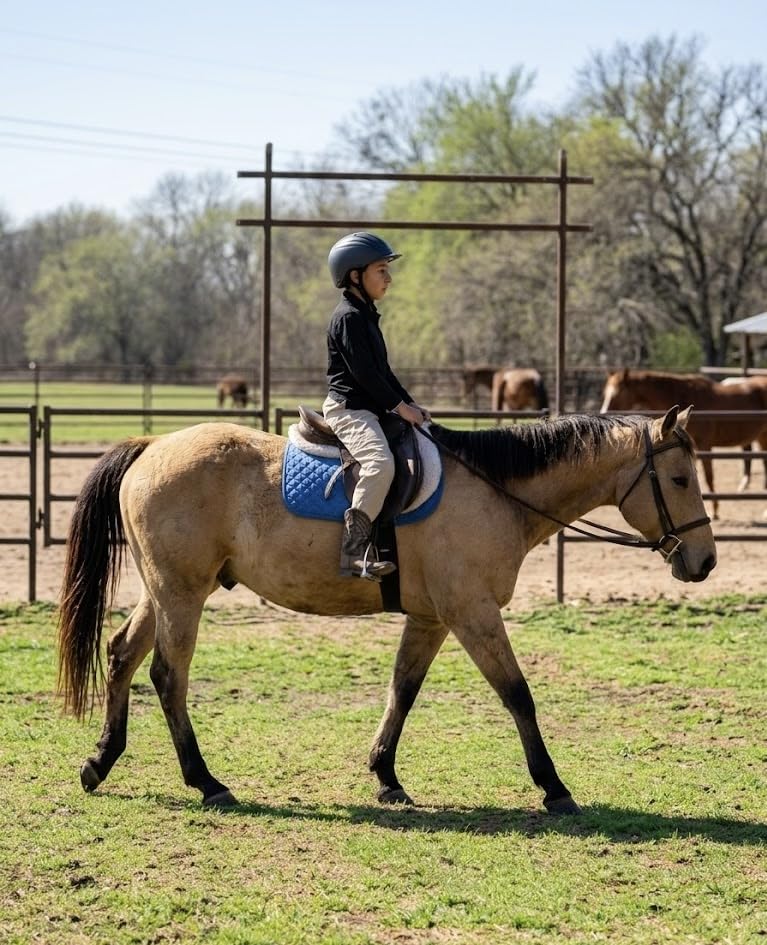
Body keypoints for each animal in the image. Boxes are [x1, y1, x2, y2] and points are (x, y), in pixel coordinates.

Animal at [57, 406, 715, 814]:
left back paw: (100, 761)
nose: (705, 561)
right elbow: (517, 694)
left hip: (164, 592)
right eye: (681, 479)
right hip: (182, 594)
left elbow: (403, 690)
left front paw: (385, 775)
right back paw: (206, 781)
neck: (496, 491)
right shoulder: (472, 612)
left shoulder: (432, 619)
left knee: (121, 656)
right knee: (168, 676)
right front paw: (553, 788)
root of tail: (153, 446)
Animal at [601, 369, 767, 518]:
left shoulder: (704, 446)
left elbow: (709, 477)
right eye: (605, 393)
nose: (603, 414)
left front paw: (715, 510)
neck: (687, 394)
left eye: (616, 394)